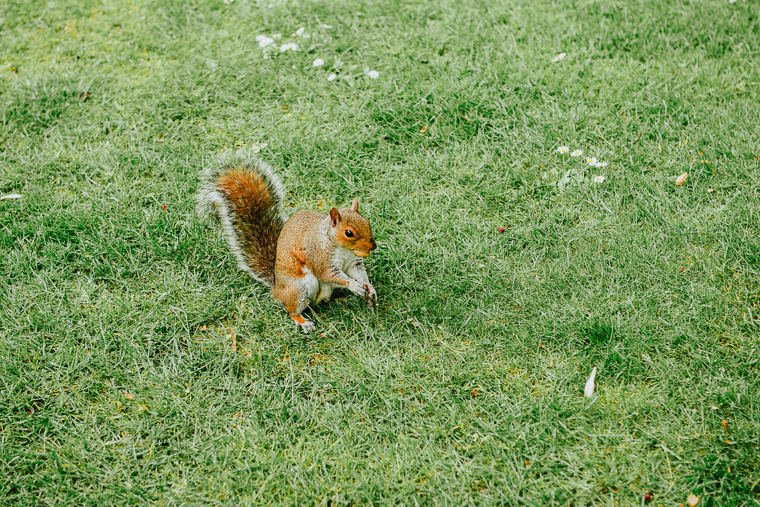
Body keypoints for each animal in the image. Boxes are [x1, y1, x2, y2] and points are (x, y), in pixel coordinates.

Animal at [194, 151, 376, 334]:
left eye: (367, 222)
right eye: (349, 233)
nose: (372, 246)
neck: (341, 247)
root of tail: (277, 289)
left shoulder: (353, 262)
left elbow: (360, 274)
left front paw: (369, 288)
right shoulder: (319, 256)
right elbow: (329, 274)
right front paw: (354, 286)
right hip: (300, 288)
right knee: (292, 309)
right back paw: (303, 322)